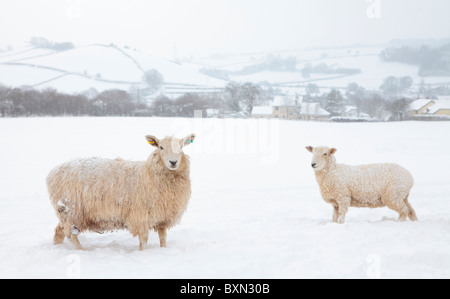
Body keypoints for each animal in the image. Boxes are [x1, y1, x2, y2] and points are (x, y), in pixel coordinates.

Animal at [46, 134, 196, 251]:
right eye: (161, 147)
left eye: (181, 147)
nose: (173, 162)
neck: (148, 173)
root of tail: (53, 172)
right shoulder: (141, 216)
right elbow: (144, 240)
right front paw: (143, 253)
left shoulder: (163, 217)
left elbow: (163, 239)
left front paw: (163, 250)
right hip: (72, 211)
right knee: (70, 234)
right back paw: (81, 250)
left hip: (66, 212)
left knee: (59, 231)